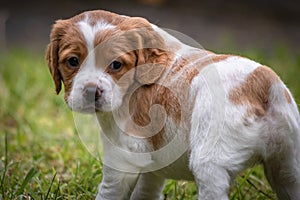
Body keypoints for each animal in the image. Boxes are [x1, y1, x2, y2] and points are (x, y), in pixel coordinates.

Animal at [46, 9, 300, 200]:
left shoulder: (122, 159)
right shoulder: (152, 161)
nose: (91, 92)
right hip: (288, 164)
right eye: (72, 61)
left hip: (211, 164)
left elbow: (110, 191)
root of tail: (262, 83)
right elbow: (147, 190)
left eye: (116, 65)